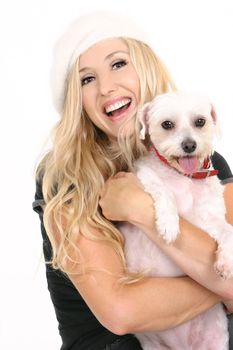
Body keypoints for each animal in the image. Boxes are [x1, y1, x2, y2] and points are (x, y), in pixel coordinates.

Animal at [119, 91, 233, 350]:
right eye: (167, 124)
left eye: (200, 121)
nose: (189, 145)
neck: (185, 177)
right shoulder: (144, 177)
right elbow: (163, 191)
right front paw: (169, 225)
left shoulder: (208, 219)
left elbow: (228, 231)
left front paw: (225, 262)